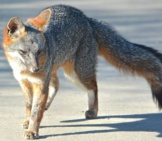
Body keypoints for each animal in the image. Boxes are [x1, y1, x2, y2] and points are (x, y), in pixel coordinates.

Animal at [2, 4, 162, 140]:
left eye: (39, 52)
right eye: (23, 52)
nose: (36, 69)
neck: (23, 70)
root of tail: (86, 18)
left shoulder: (40, 83)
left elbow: (36, 111)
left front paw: (32, 130)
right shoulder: (25, 82)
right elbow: (29, 106)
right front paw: (28, 121)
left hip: (77, 73)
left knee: (94, 86)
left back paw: (93, 111)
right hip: (58, 71)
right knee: (57, 84)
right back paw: (47, 104)